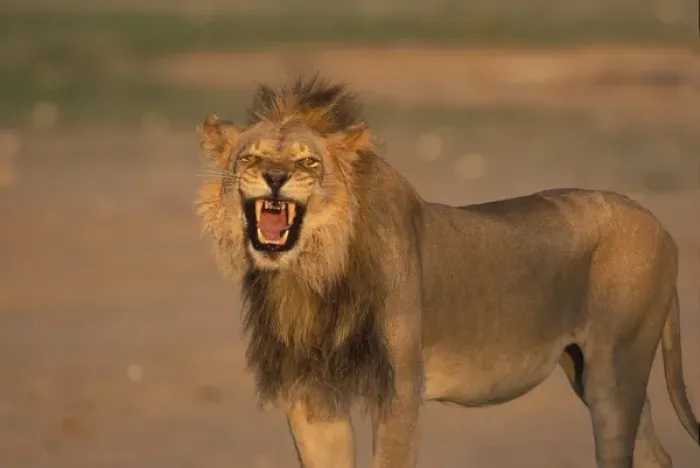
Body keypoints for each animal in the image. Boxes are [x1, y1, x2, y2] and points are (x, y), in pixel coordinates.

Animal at [195, 76, 699, 468]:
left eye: (308, 161)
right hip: (593, 372)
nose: (275, 179)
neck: (314, 273)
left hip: (615, 369)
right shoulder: (310, 394)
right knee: (655, 454)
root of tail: (662, 227)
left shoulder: (400, 390)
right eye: (251, 158)